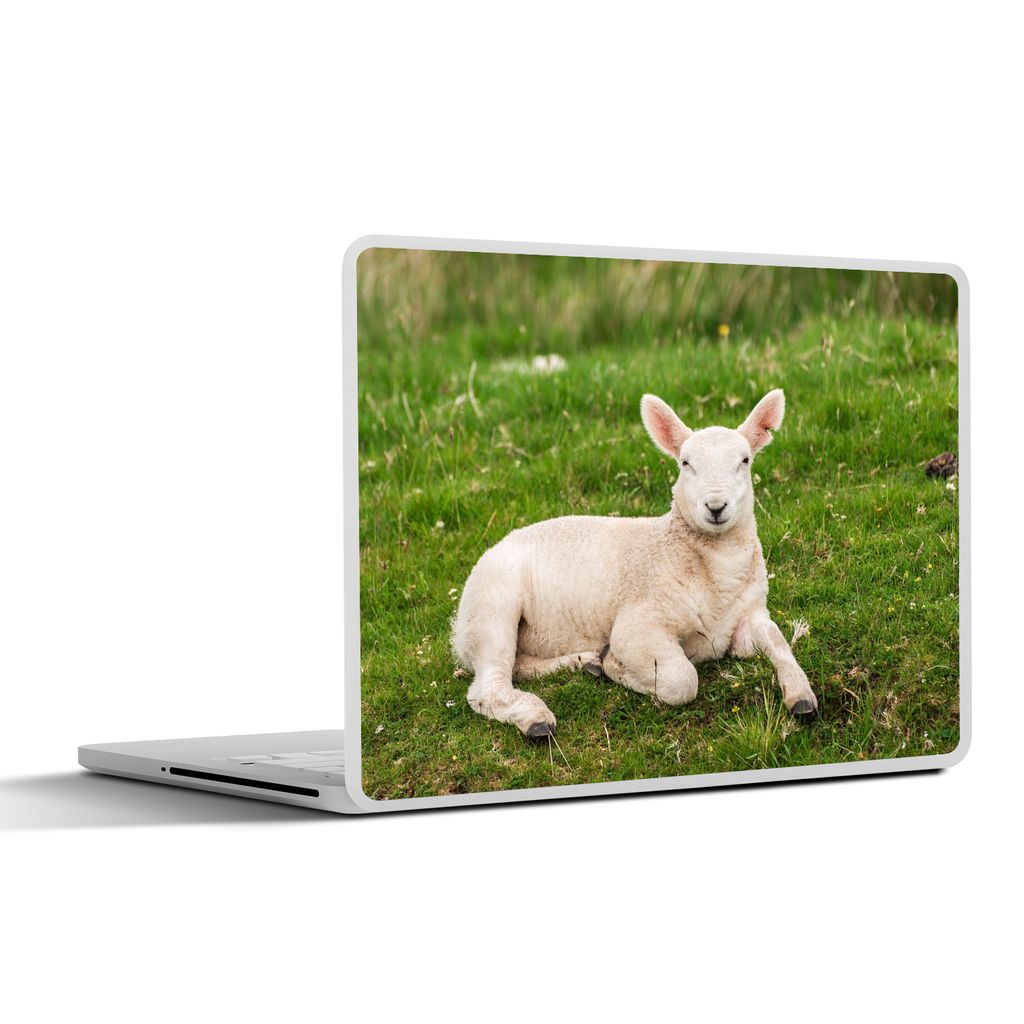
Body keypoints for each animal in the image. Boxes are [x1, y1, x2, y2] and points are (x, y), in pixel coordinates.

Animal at [451, 389, 819, 739]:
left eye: (744, 460)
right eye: (685, 463)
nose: (716, 507)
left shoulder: (749, 616)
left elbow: (776, 639)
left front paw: (802, 697)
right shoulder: (638, 625)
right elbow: (681, 680)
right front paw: (616, 666)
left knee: (518, 665)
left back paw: (583, 661)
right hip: (490, 608)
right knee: (488, 685)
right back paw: (536, 719)